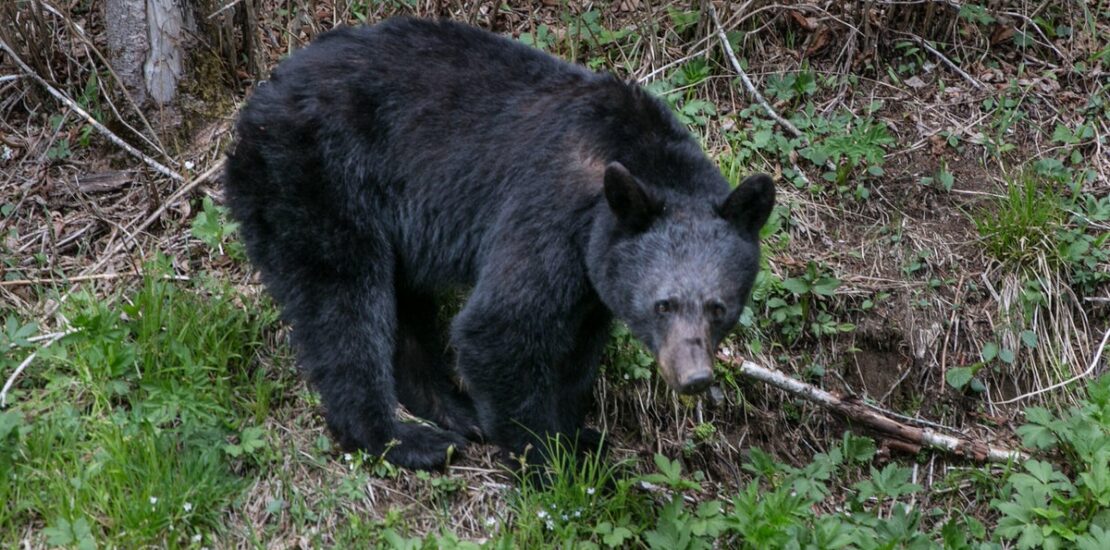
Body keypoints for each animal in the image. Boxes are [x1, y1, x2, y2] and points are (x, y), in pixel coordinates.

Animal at [224, 17, 775, 470]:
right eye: (663, 304)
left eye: (719, 307)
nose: (694, 377)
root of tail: (256, 103)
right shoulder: (549, 213)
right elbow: (500, 328)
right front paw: (549, 460)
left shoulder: (594, 272)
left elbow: (577, 349)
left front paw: (577, 435)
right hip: (316, 180)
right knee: (342, 302)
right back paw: (402, 439)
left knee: (404, 308)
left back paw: (453, 410)